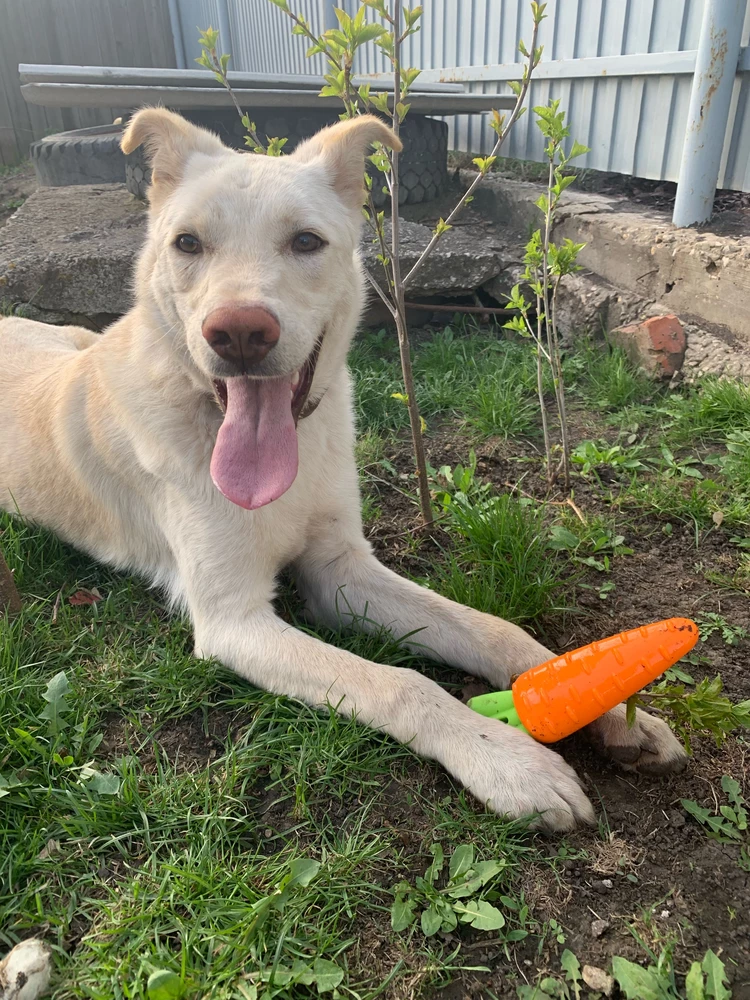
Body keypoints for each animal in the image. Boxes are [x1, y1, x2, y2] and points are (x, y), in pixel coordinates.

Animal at [0, 109, 688, 832]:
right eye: (187, 243)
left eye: (306, 241)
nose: (238, 333)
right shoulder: (234, 621)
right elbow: (401, 683)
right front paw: (506, 759)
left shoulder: (341, 571)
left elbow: (496, 629)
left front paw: (616, 708)